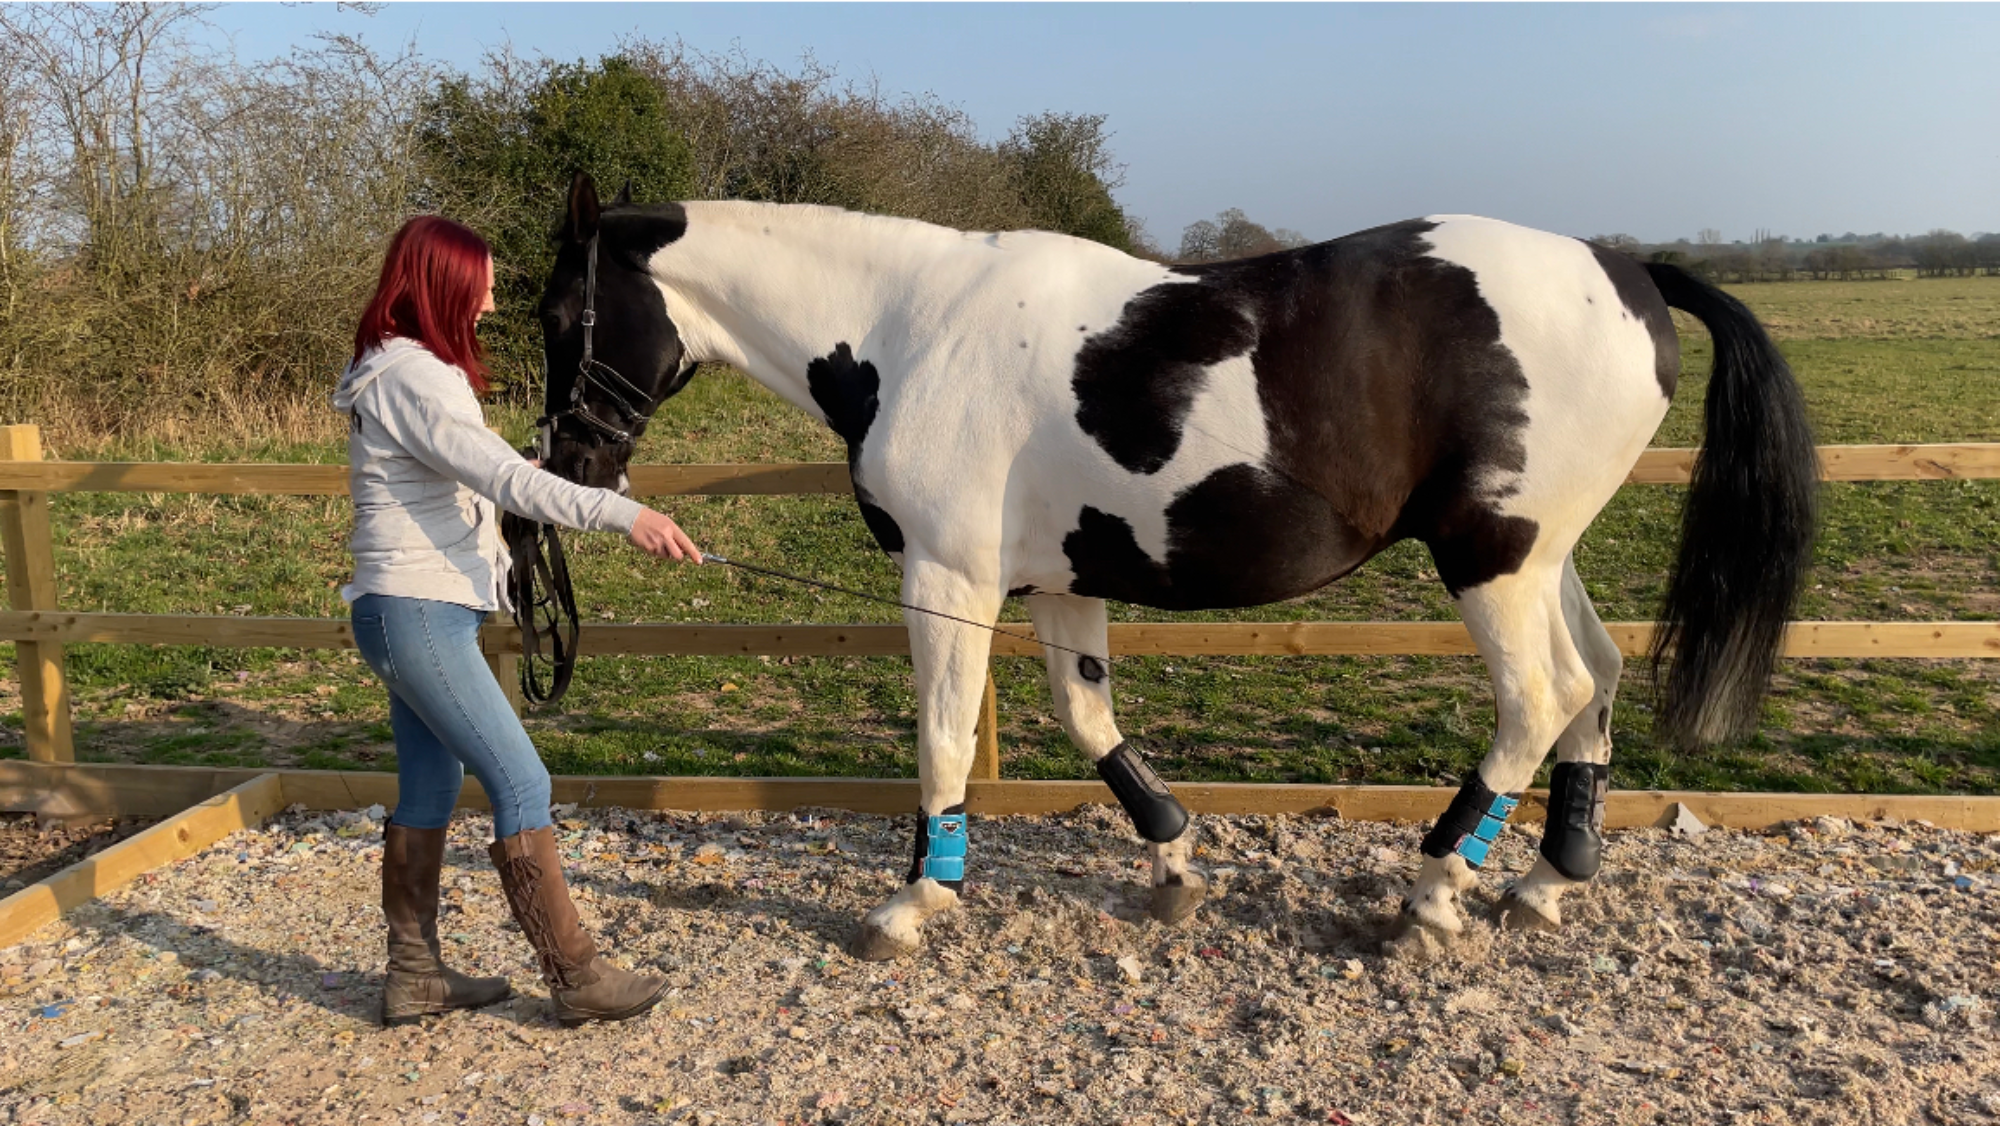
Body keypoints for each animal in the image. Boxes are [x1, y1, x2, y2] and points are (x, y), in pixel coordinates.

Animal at [531, 172, 1817, 959]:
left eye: (555, 316)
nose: (566, 462)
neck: (910, 329)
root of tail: (1628, 271)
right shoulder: (1059, 583)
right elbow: (1086, 721)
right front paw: (1173, 858)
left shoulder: (947, 582)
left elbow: (942, 738)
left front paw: (913, 899)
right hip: (1541, 555)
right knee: (1594, 679)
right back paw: (1547, 878)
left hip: (1489, 560)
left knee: (1538, 698)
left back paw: (1431, 888)